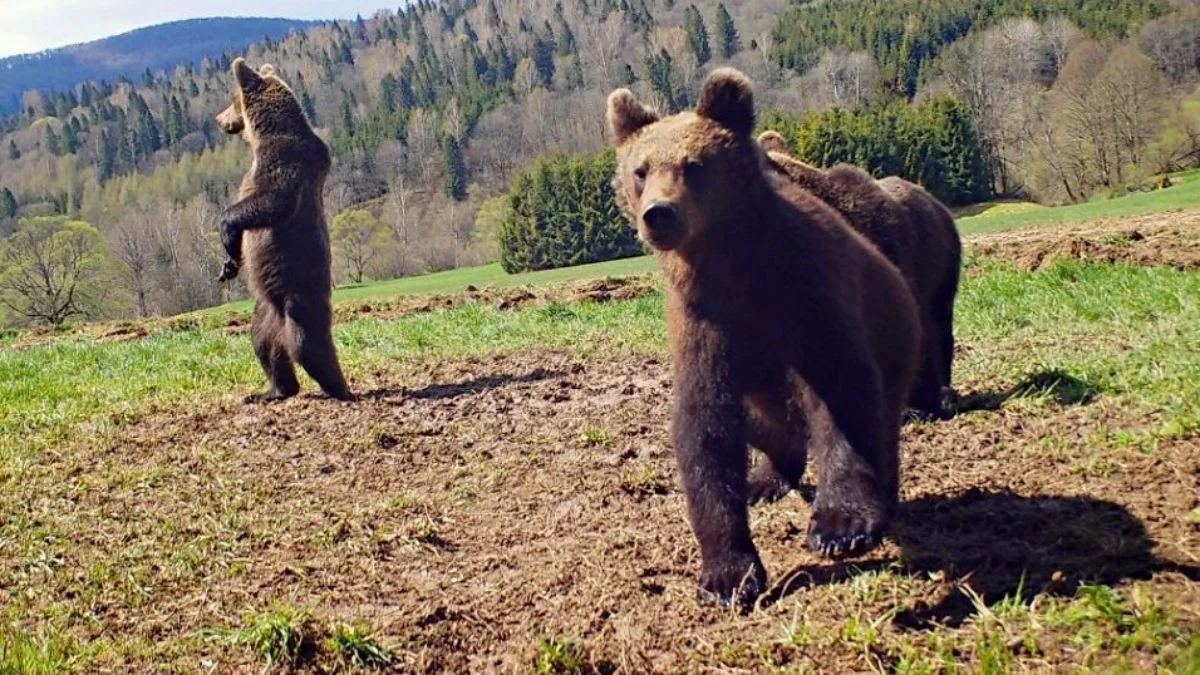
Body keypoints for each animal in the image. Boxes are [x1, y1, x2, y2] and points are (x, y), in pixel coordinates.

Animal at [213, 56, 350, 398]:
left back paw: (338, 388)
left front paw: (227, 234)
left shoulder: (284, 163)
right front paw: (229, 264)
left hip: (299, 299)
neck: (264, 133)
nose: (218, 119)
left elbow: (271, 202)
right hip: (265, 311)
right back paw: (271, 390)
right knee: (264, 345)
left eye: (232, 99)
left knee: (308, 345)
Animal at [604, 69, 921, 610]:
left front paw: (841, 524)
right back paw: (765, 477)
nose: (659, 214)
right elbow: (705, 430)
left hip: (896, 340)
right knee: (769, 429)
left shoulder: (806, 292)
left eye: (694, 165)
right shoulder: (705, 324)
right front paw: (727, 574)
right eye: (640, 169)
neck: (731, 267)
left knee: (879, 417)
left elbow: (841, 391)